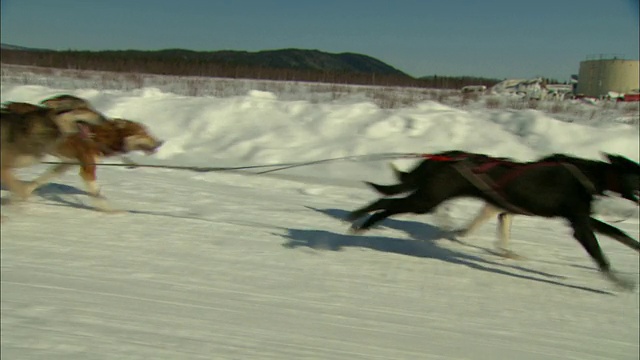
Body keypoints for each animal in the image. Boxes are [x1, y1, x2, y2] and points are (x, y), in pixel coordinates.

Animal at [348, 151, 640, 290]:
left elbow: (621, 235)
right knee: (386, 203)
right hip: (426, 201)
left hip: (426, 198)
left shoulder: (583, 219)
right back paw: (361, 221)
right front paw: (620, 282)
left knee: (388, 203)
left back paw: (360, 220)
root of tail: (444, 158)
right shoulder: (580, 225)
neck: (589, 174)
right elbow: (601, 256)